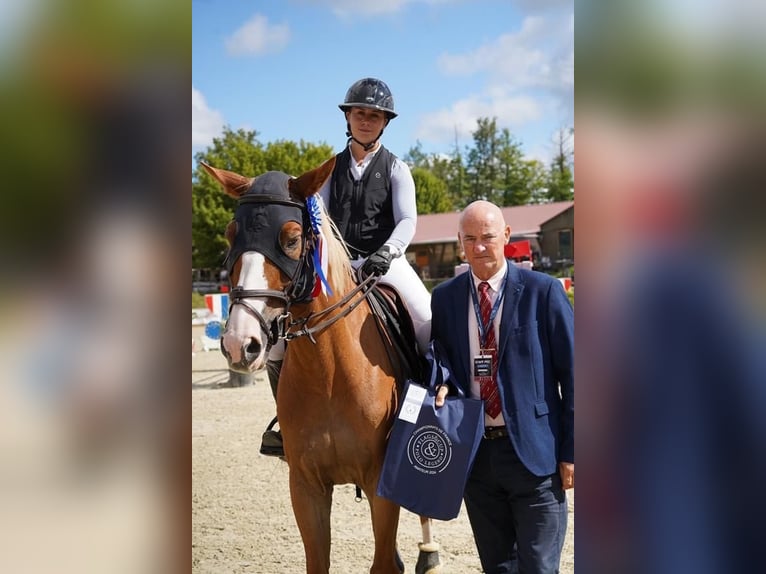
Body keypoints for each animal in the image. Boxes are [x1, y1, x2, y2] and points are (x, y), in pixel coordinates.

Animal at [202, 159, 444, 574]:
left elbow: (382, 562)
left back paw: (428, 552)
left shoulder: (379, 480)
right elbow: (319, 561)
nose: (239, 343)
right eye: (232, 236)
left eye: (291, 239)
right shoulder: (305, 485)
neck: (329, 370)